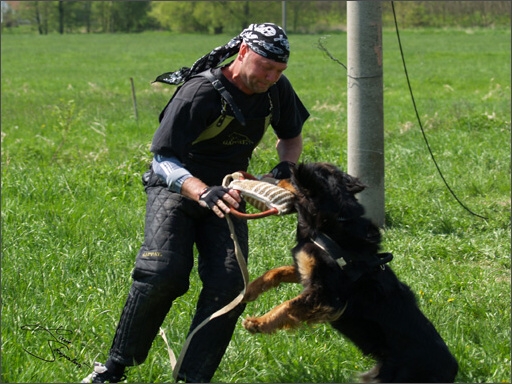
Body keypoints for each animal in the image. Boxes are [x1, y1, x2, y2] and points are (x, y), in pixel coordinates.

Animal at [242, 163, 458, 384]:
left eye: (286, 177)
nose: (264, 176)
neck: (329, 224)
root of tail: (452, 370)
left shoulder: (326, 294)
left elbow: (288, 305)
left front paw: (258, 322)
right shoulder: (308, 271)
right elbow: (276, 272)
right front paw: (250, 290)